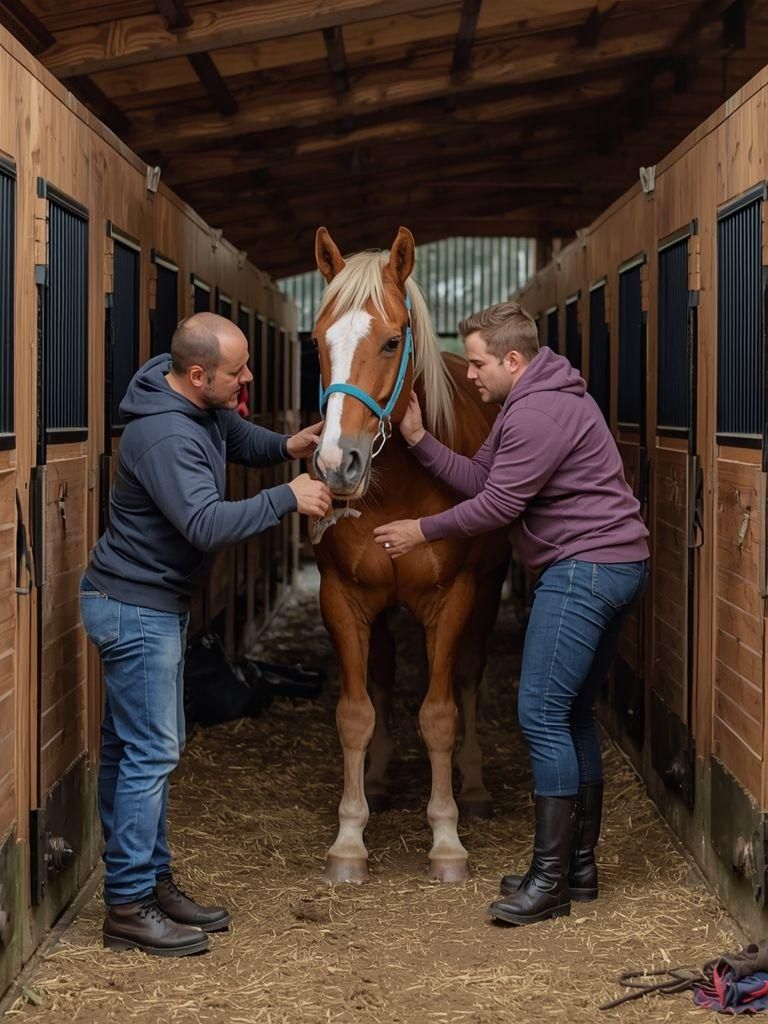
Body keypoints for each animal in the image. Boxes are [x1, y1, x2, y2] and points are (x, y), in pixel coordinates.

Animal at [310, 226, 508, 884]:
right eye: (318, 340)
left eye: (392, 341)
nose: (335, 464)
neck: (397, 479)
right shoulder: (342, 598)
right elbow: (356, 712)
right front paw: (350, 836)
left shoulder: (454, 599)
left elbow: (440, 714)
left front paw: (446, 837)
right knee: (381, 678)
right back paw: (376, 778)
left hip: (488, 588)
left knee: (468, 678)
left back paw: (473, 789)